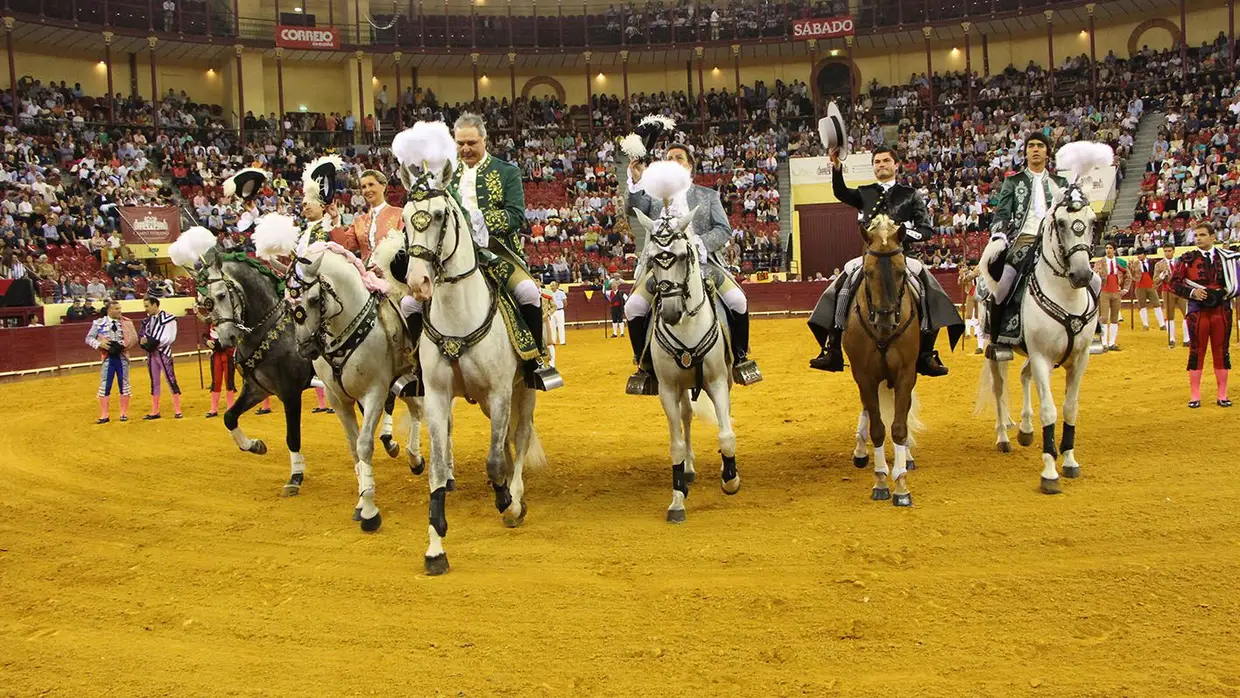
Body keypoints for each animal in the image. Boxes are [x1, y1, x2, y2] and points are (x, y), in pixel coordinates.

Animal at [285, 242, 426, 533]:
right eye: (288, 304)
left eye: (313, 299)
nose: (305, 349)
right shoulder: (337, 399)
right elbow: (353, 447)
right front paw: (361, 502)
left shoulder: (374, 393)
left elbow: (363, 445)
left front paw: (370, 510)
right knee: (416, 409)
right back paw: (414, 458)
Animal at [634, 204, 739, 520]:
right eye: (654, 259)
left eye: (683, 255)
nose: (670, 312)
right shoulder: (668, 390)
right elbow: (676, 444)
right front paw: (678, 498)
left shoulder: (717, 382)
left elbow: (726, 433)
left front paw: (730, 479)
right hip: (681, 389)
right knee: (686, 417)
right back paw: (690, 470)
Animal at [977, 179, 1096, 495]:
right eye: (1061, 223)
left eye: (1092, 221)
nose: (1082, 275)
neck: (1066, 296)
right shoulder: (1042, 356)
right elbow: (1050, 411)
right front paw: (1050, 472)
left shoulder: (1079, 359)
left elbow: (1070, 408)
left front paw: (1069, 460)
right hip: (996, 351)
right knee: (999, 388)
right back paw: (1003, 437)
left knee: (1023, 375)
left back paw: (1026, 430)